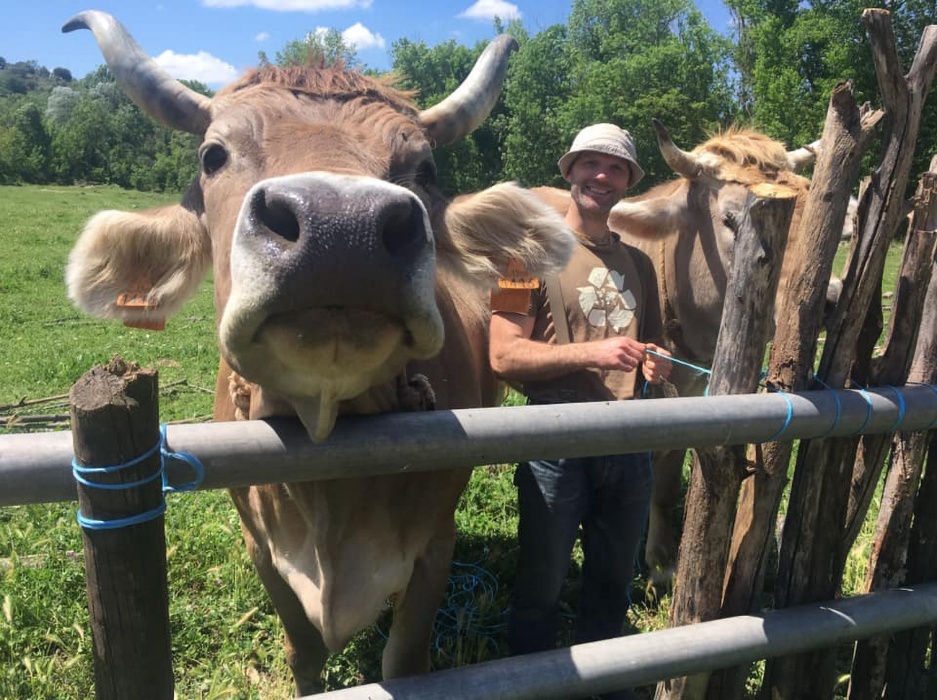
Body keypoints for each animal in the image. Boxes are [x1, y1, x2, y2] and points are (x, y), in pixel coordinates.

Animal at [62, 11, 575, 695]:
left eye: (426, 167)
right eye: (212, 154)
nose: (342, 227)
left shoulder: (434, 545)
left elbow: (404, 661)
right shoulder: (262, 549)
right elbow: (302, 652)